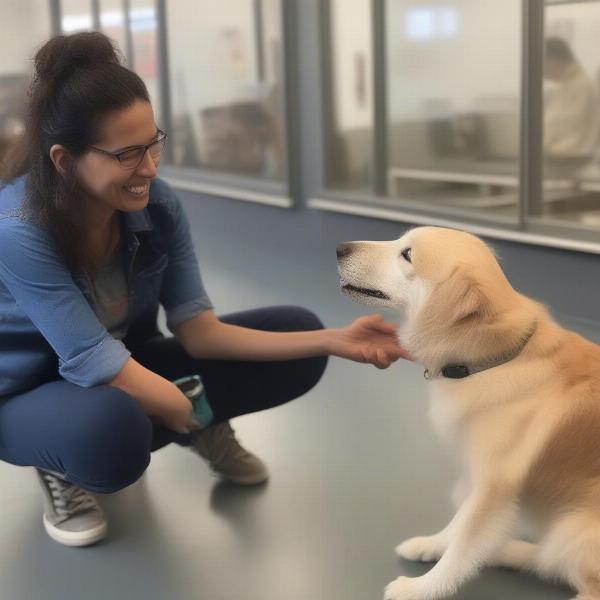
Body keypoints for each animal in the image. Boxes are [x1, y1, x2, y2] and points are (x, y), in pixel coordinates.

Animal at [338, 226, 600, 600]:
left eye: (407, 254)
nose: (339, 248)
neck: (498, 358)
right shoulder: (477, 479)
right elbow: (457, 526)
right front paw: (430, 545)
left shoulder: (494, 487)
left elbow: (462, 547)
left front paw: (420, 588)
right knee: (550, 560)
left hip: (575, 530)